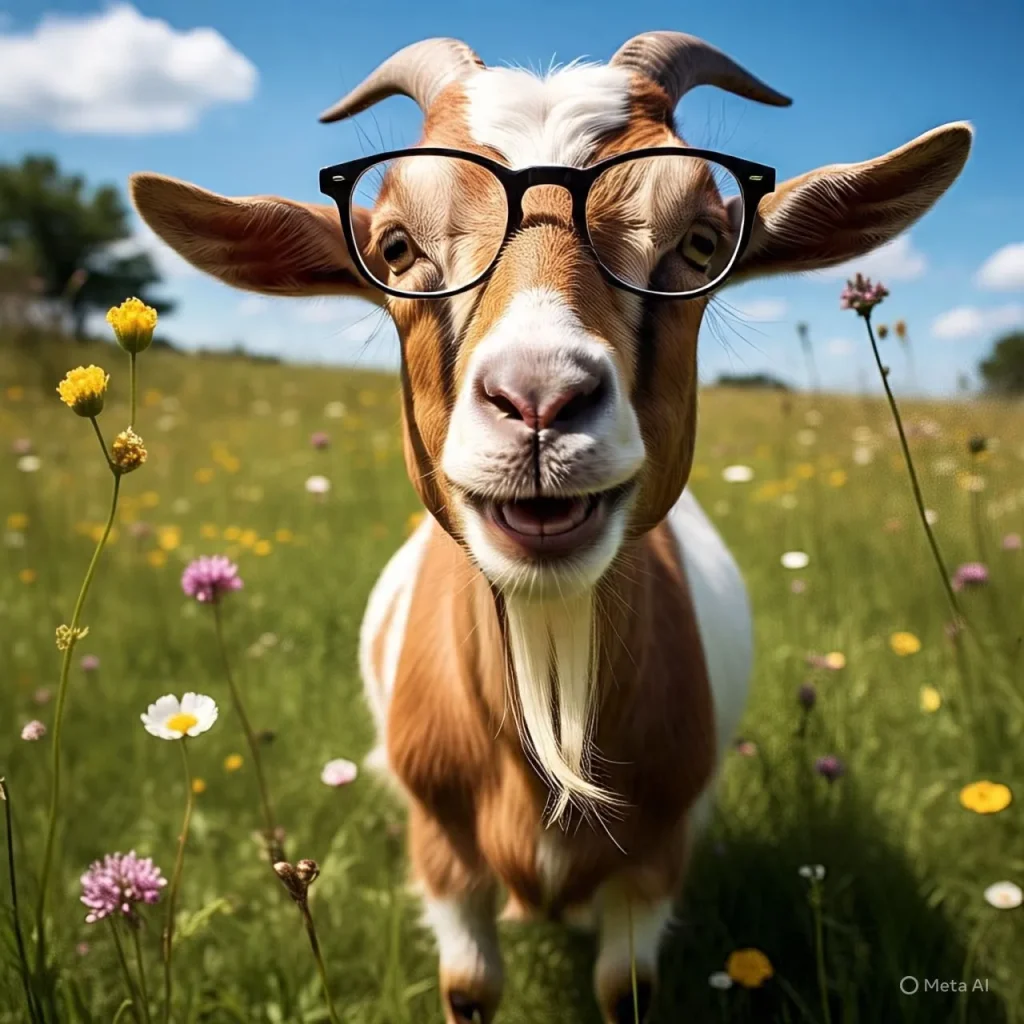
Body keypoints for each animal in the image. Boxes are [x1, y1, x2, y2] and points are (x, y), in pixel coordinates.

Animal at [131, 30, 971, 1024]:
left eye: (700, 240)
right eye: (396, 245)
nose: (539, 399)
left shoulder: (652, 864)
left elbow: (625, 985)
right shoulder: (443, 857)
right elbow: (469, 984)